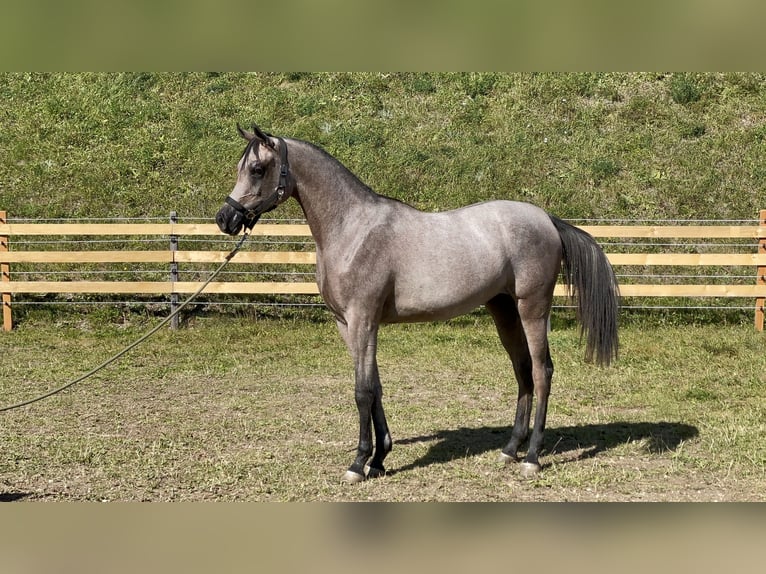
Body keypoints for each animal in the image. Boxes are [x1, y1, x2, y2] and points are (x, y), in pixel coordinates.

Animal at [216, 124, 620, 483]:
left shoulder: (363, 320)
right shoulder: (348, 325)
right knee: (522, 372)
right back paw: (509, 450)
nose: (225, 218)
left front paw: (358, 463)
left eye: (257, 169)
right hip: (504, 311)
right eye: (240, 167)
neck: (352, 229)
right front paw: (379, 459)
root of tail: (547, 219)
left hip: (531, 309)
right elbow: (375, 387)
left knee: (541, 372)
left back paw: (532, 457)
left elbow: (362, 392)